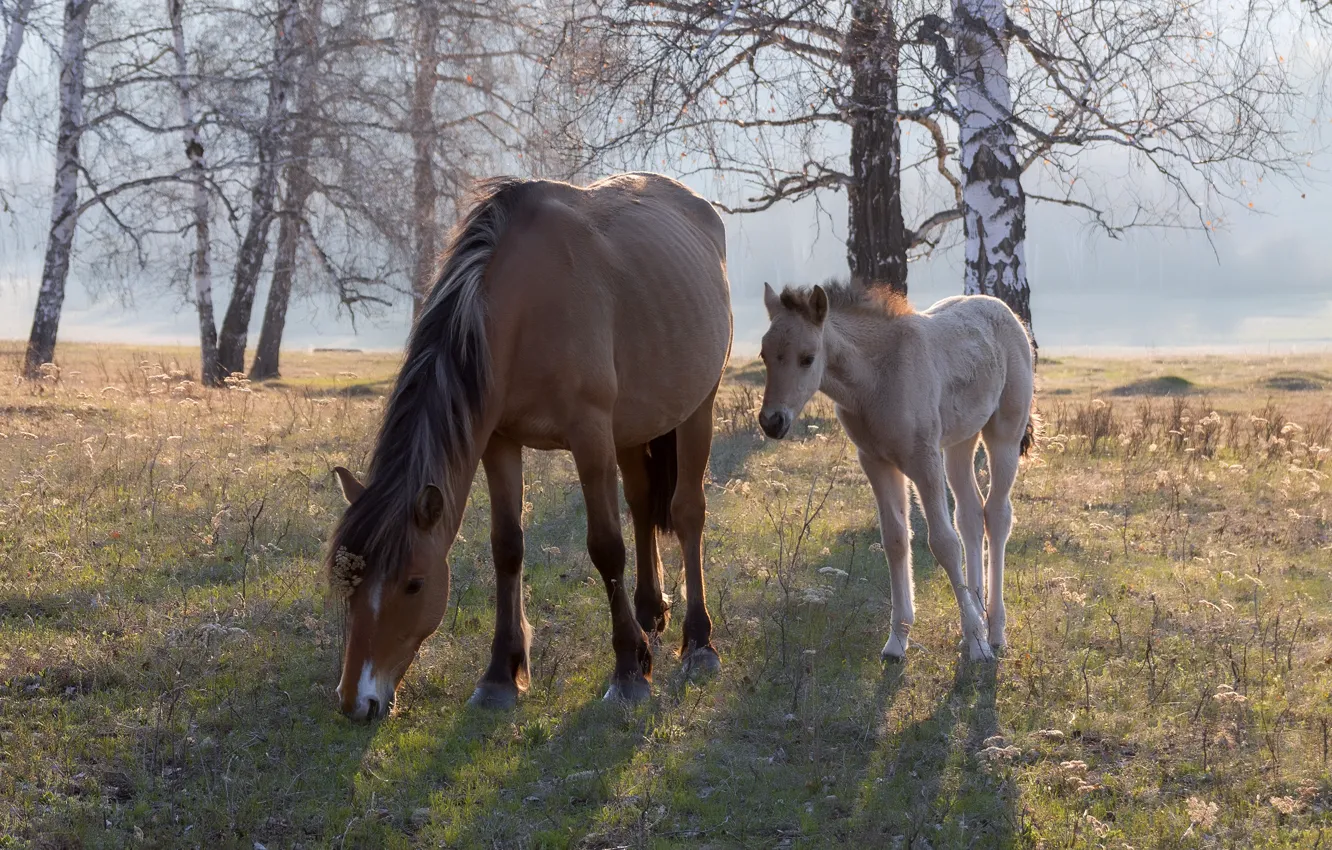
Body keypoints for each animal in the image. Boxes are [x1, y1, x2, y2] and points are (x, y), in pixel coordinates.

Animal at [327, 173, 733, 721]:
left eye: (413, 583)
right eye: (348, 584)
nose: (356, 701)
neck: (522, 309)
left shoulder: (590, 438)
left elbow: (606, 548)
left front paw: (630, 671)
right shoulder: (498, 442)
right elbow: (507, 548)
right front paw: (500, 674)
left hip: (696, 411)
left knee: (687, 512)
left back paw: (699, 643)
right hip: (634, 427)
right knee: (643, 505)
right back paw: (650, 612)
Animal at [756, 282, 1035, 663]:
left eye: (807, 358)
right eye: (764, 355)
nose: (772, 422)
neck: (877, 380)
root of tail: (1007, 312)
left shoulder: (924, 459)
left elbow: (944, 543)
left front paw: (977, 643)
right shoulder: (876, 461)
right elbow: (896, 540)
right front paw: (897, 640)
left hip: (1004, 435)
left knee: (997, 514)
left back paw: (994, 631)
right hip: (960, 442)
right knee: (970, 514)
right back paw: (977, 614)